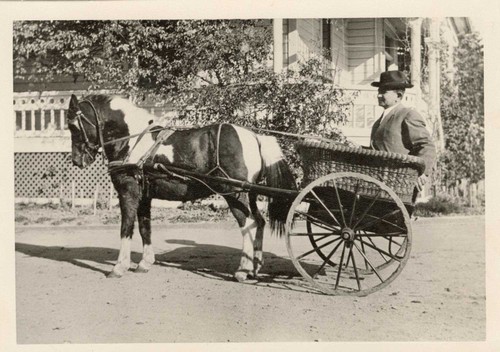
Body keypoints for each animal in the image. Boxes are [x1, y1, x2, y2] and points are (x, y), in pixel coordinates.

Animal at [66, 93, 296, 280]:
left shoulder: (128, 191)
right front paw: (144, 263)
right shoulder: (144, 196)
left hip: (233, 194)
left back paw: (243, 269)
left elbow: (126, 227)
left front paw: (119, 267)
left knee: (248, 224)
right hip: (248, 194)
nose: (77, 161)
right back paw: (255, 267)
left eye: (73, 126)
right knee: (259, 222)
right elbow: (144, 227)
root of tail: (255, 136)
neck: (133, 141)